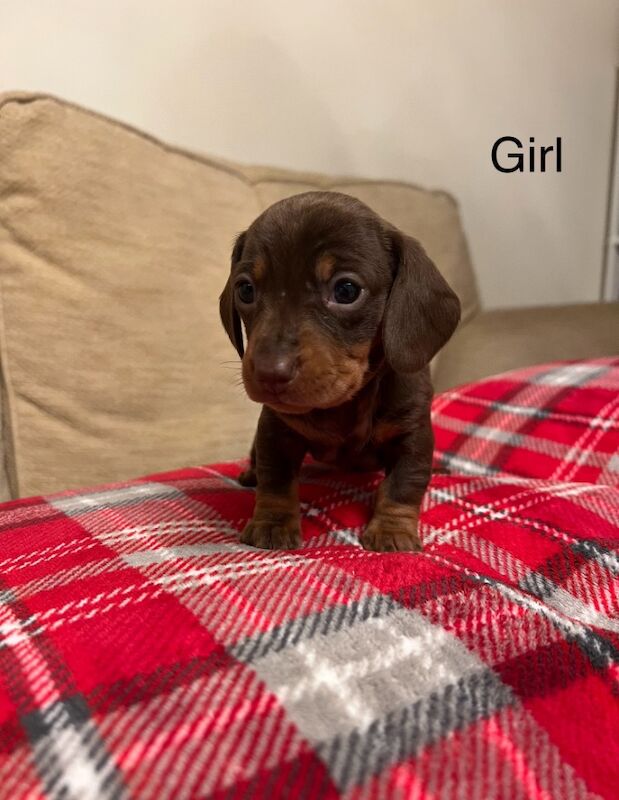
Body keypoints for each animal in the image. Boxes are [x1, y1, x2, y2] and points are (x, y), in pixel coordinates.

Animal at [222, 191, 460, 552]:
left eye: (346, 290)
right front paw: (272, 523)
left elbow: (405, 483)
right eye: (245, 290)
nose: (268, 373)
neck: (345, 402)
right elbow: (275, 478)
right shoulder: (277, 429)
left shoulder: (413, 433)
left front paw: (392, 530)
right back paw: (251, 473)